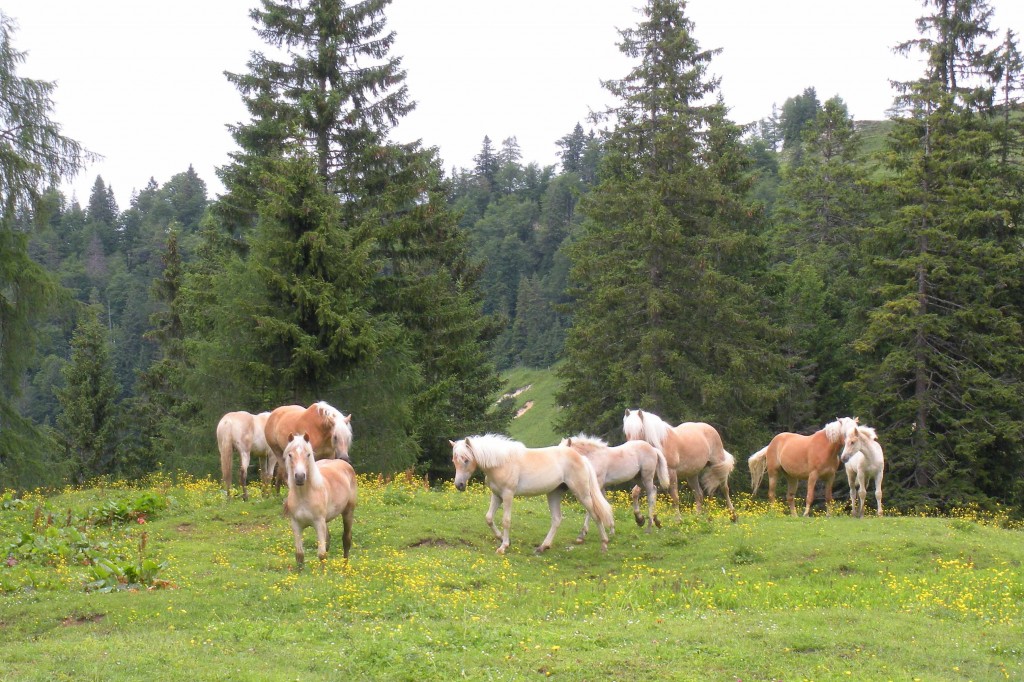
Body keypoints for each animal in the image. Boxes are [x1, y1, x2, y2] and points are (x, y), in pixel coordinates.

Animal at [282, 432, 358, 565]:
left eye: (308, 454)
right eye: (290, 455)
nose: (300, 477)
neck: (304, 496)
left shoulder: (318, 523)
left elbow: (322, 555)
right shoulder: (296, 525)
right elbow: (299, 555)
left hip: (348, 512)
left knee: (346, 540)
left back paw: (345, 567)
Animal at [450, 432, 614, 557]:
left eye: (466, 460)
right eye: (454, 460)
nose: (459, 485)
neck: (502, 462)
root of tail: (582, 458)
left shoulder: (508, 495)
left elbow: (506, 520)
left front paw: (503, 546)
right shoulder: (497, 495)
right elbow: (489, 518)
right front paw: (501, 537)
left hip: (582, 494)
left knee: (596, 515)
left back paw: (604, 545)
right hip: (553, 494)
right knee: (557, 519)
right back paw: (543, 547)